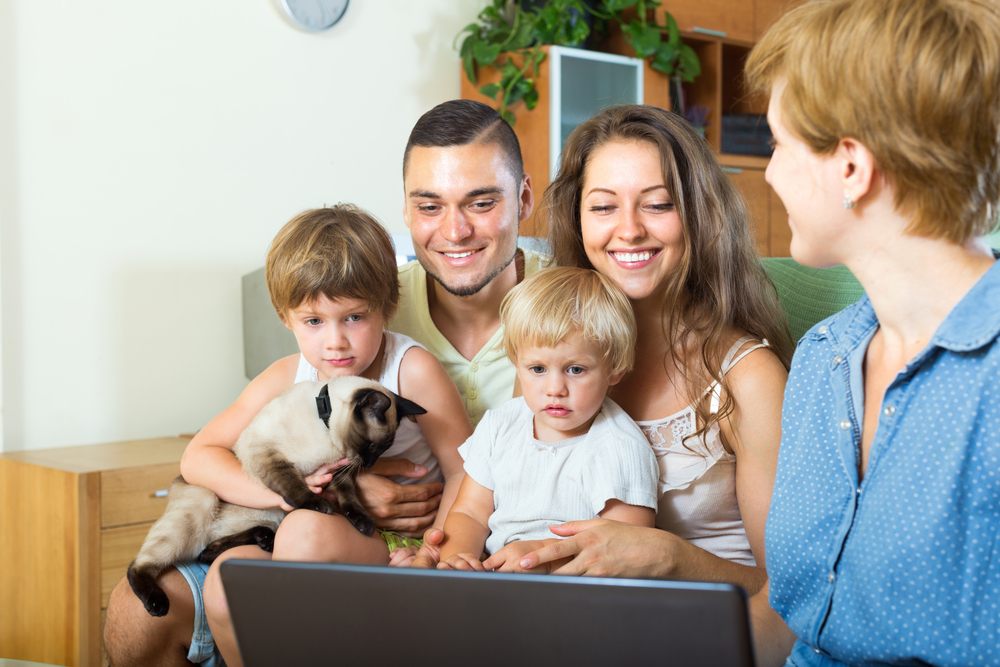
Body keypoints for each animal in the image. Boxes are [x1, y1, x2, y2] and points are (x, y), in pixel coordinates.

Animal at [127, 376, 424, 616]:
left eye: (383, 449)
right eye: (373, 446)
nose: (370, 463)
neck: (325, 433)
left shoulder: (340, 473)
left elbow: (351, 501)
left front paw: (363, 524)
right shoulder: (269, 455)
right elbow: (294, 486)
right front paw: (319, 505)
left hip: (271, 519)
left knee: (207, 553)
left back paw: (263, 540)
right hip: (203, 505)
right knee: (140, 565)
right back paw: (157, 604)